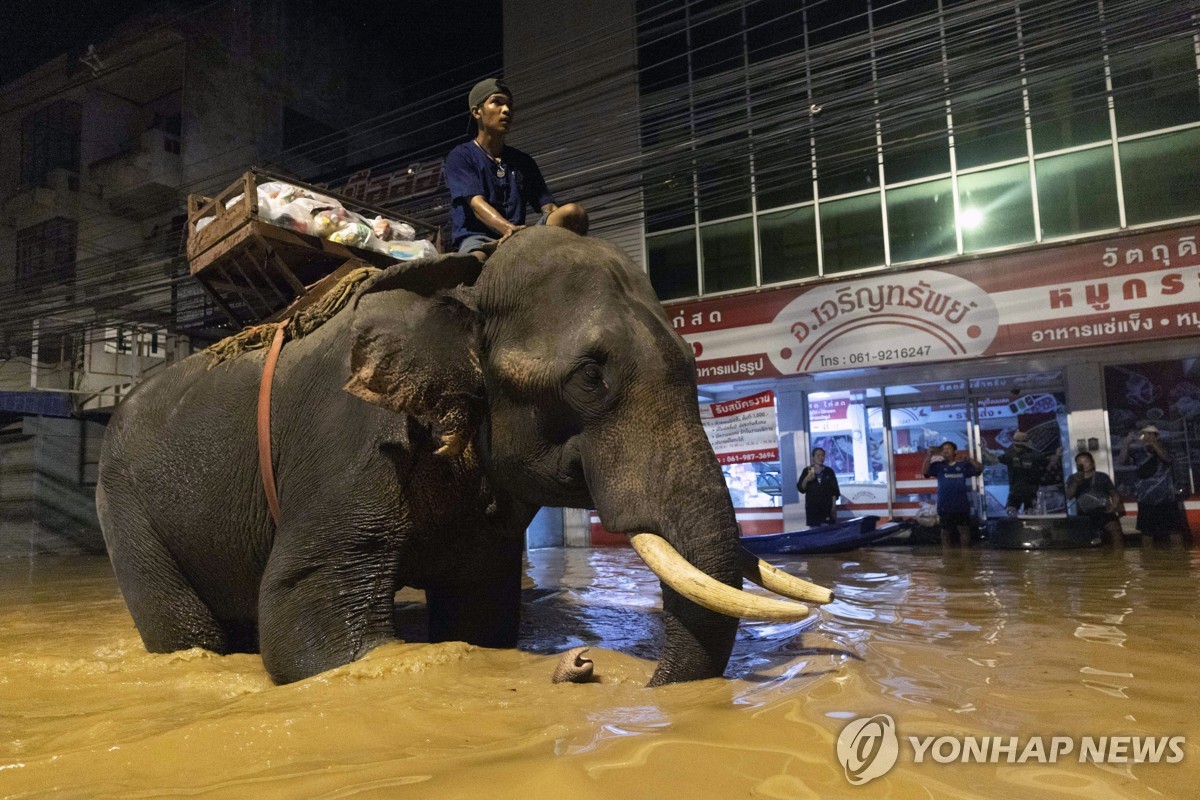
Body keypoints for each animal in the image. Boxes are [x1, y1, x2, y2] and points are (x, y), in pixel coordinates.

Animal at [96, 226, 835, 690]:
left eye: (693, 362)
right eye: (590, 377)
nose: (590, 669)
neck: (466, 278)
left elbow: (480, 613)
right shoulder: (353, 443)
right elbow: (310, 628)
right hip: (125, 510)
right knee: (185, 630)